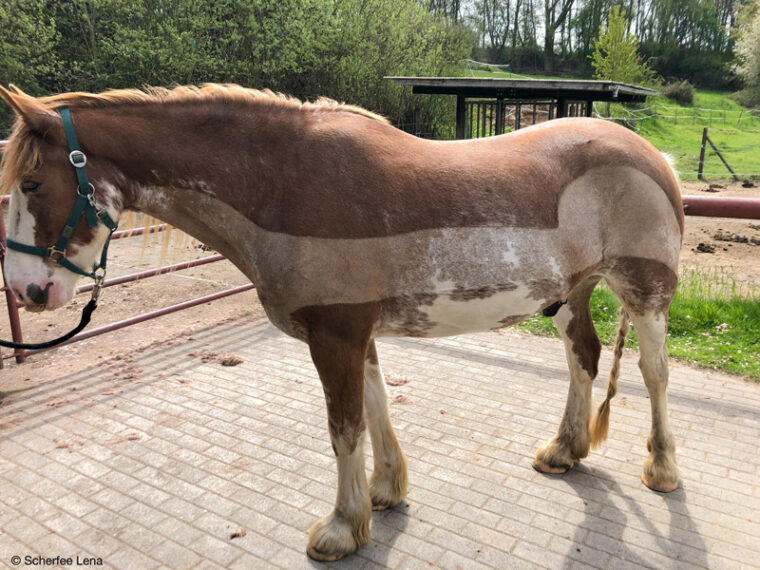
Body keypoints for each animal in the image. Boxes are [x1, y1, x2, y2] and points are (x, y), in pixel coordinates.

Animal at [0, 84, 684, 560]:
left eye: (31, 182)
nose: (27, 290)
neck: (283, 183)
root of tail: (654, 154)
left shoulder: (335, 337)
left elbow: (343, 427)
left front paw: (341, 528)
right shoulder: (358, 335)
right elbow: (375, 407)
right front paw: (385, 493)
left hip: (645, 292)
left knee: (653, 373)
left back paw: (662, 470)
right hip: (572, 293)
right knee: (583, 357)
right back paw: (564, 451)